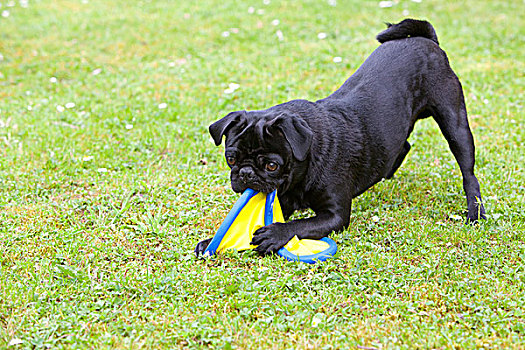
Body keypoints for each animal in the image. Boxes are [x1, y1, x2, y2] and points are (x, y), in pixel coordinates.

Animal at [194, 18, 486, 254]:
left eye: (272, 165)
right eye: (231, 159)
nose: (245, 173)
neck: (306, 163)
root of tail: (426, 39)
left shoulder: (333, 215)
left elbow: (301, 223)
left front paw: (275, 233)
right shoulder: (284, 201)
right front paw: (209, 242)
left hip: (454, 123)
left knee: (468, 174)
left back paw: (475, 213)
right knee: (402, 145)